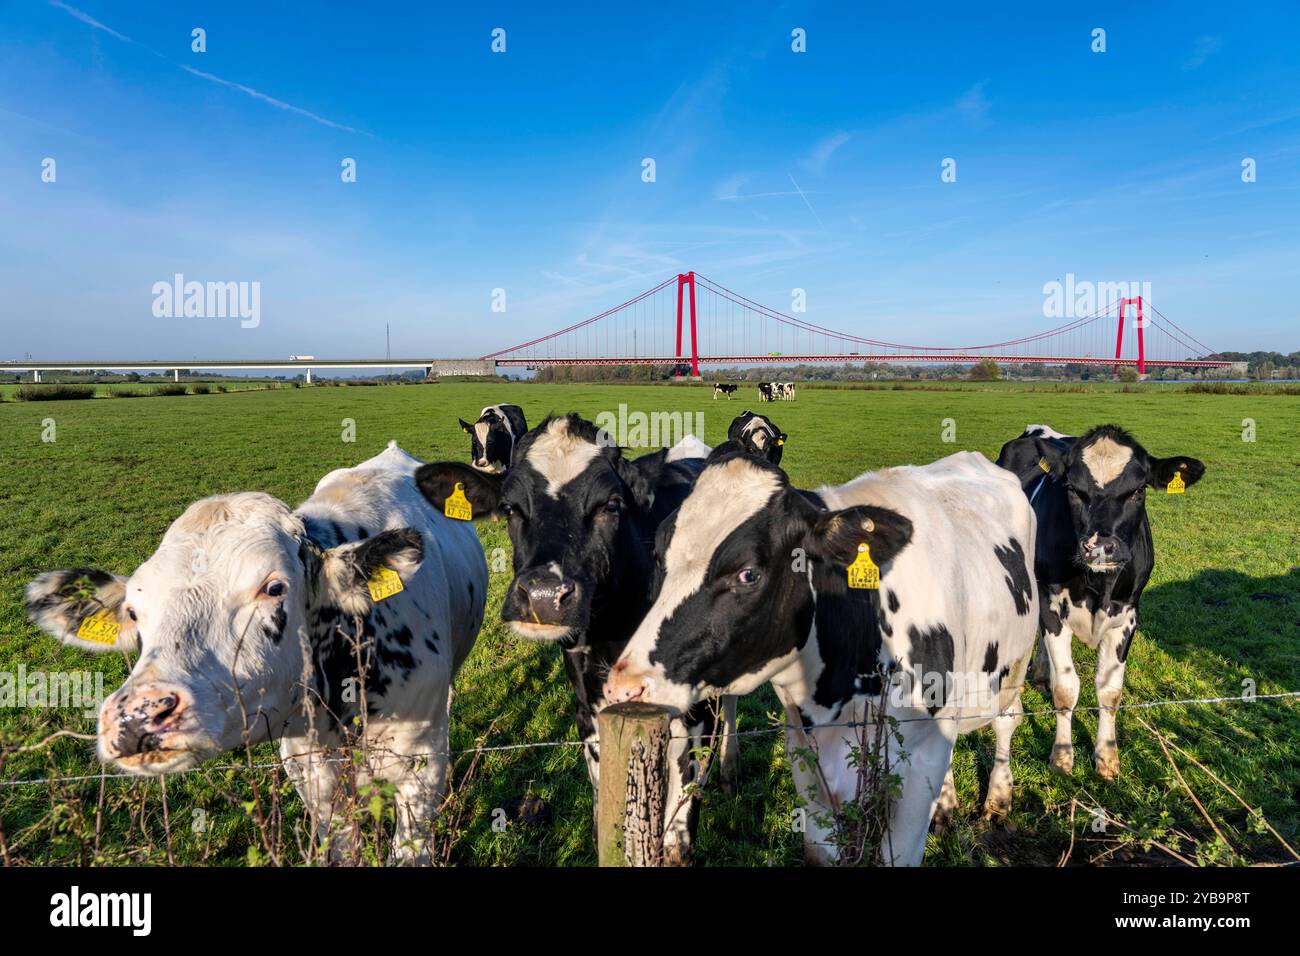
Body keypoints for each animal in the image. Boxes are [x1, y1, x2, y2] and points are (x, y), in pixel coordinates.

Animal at [413, 416, 733, 863]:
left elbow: (680, 826)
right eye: (510, 508)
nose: (545, 597)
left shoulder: (700, 710)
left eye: (611, 505)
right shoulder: (589, 707)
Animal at [603, 442, 1040, 868]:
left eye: (748, 573)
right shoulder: (805, 751)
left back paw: (998, 801)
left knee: (1007, 721)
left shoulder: (918, 762)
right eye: (659, 556)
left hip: (1011, 672)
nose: (625, 686)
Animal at [998, 424, 1201, 780]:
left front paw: (1107, 758)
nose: (1100, 548)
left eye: (1138, 490)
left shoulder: (1128, 615)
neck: (1098, 584)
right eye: (1073, 489)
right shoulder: (1052, 607)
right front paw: (1062, 757)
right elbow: (1066, 688)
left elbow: (1110, 691)